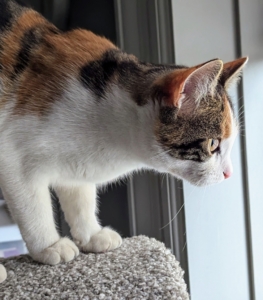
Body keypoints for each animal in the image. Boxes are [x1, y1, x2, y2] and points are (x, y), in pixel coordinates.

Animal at [0, 0, 249, 284]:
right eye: (212, 145)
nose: (229, 173)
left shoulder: (74, 165)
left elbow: (80, 196)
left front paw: (91, 234)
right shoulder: (13, 153)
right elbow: (33, 206)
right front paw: (49, 246)